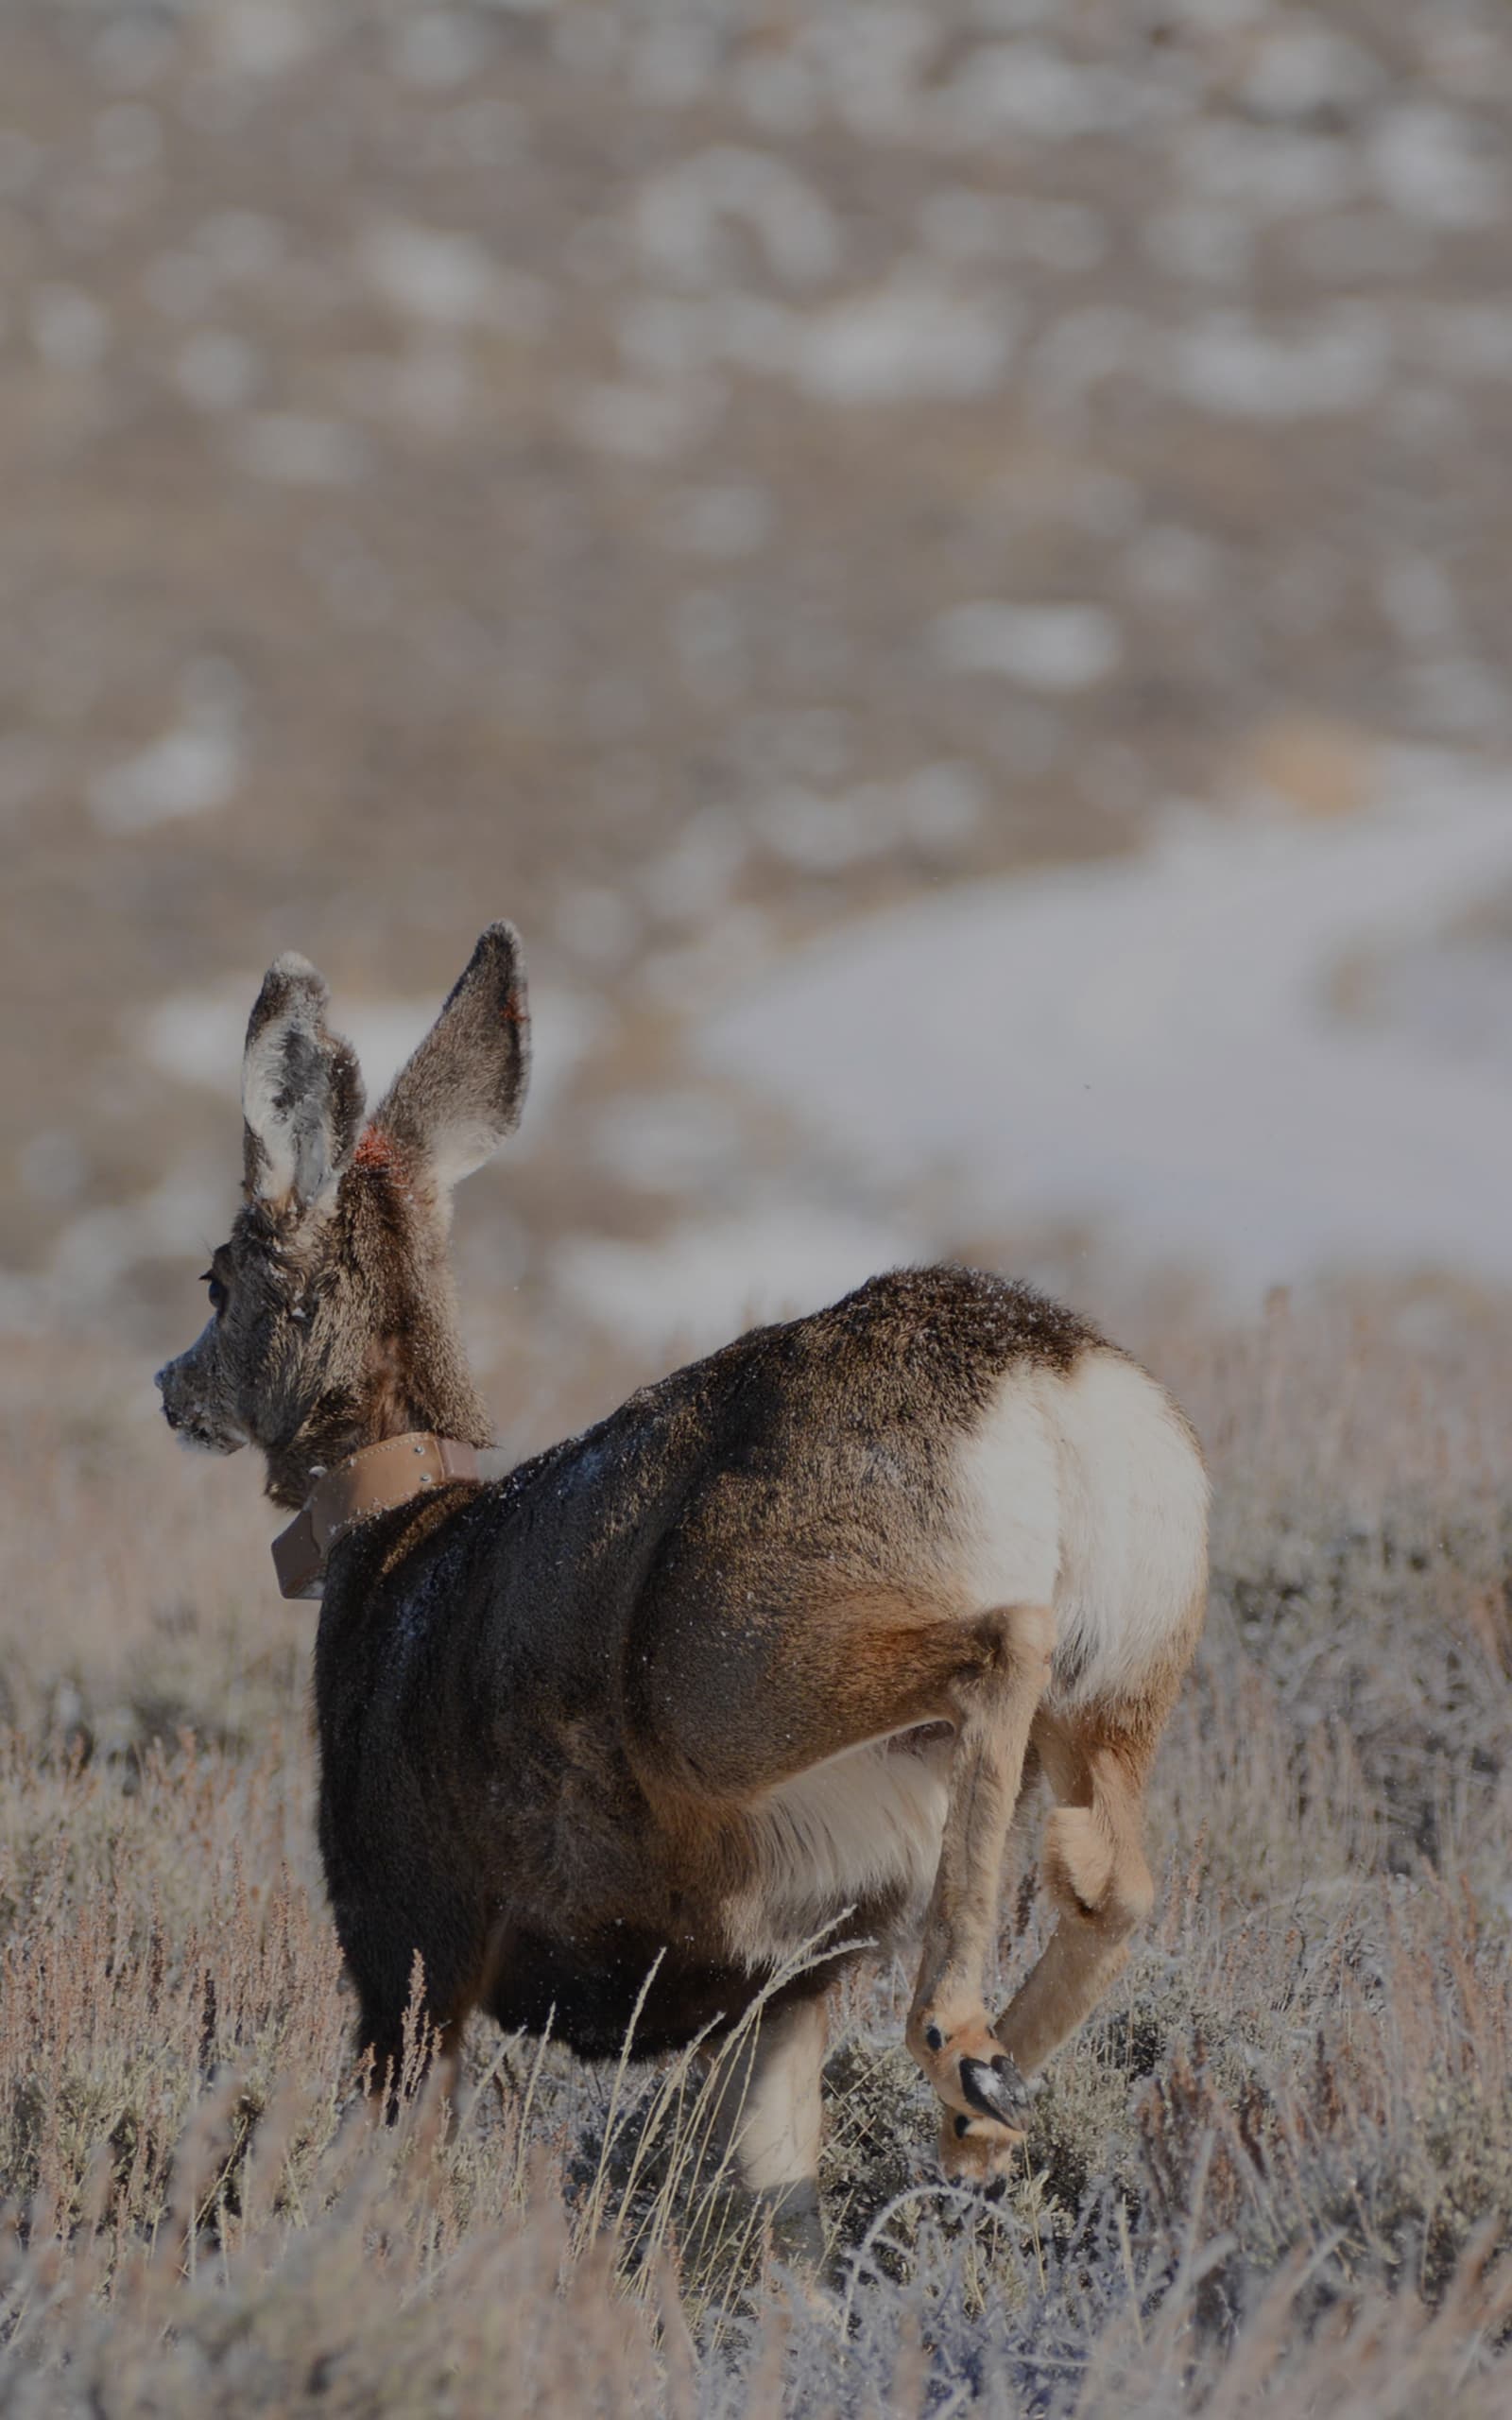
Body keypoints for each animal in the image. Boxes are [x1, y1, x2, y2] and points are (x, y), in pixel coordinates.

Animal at [155, 924, 1208, 2267]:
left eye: (215, 1279)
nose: (170, 1387)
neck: (388, 1547)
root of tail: (1052, 1378)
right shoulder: (779, 1986)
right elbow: (779, 2202)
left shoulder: (409, 1938)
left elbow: (380, 2168)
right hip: (1130, 1664)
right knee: (1114, 1863)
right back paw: (989, 2100)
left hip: (719, 1674)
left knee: (998, 1645)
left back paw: (962, 2047)